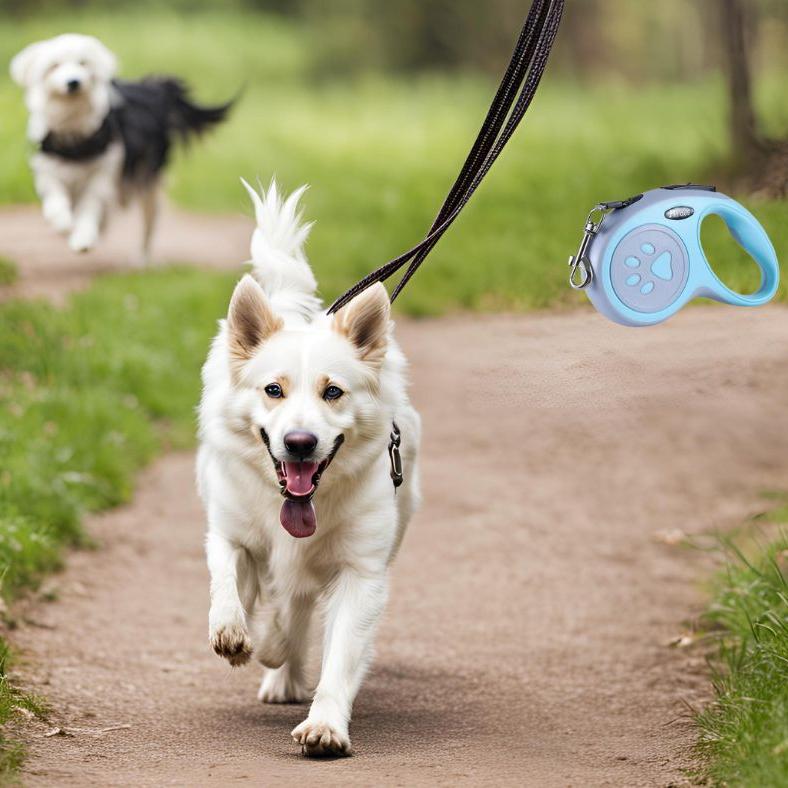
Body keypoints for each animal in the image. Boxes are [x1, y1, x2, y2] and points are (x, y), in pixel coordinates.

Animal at [10, 33, 232, 258]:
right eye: (54, 65)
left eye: (83, 63)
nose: (74, 82)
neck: (75, 134)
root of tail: (153, 89)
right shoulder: (48, 169)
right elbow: (56, 198)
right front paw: (62, 222)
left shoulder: (102, 175)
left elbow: (90, 208)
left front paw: (84, 238)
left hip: (146, 182)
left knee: (148, 223)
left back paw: (142, 258)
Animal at [195, 180, 422, 756]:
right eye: (273, 389)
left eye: (333, 392)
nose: (299, 444)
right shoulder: (230, 532)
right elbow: (226, 581)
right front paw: (233, 634)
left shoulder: (361, 572)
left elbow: (339, 656)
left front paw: (325, 726)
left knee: (294, 610)